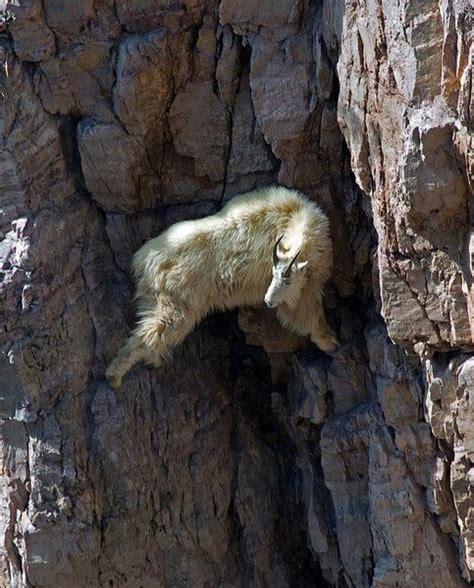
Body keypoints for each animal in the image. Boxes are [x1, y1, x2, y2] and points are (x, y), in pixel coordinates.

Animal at [106, 187, 336, 390]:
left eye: (286, 281)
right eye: (274, 275)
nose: (268, 300)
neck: (295, 219)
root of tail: (143, 259)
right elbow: (306, 308)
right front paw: (329, 340)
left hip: (156, 290)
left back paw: (153, 359)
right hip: (180, 287)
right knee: (167, 322)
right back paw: (115, 375)